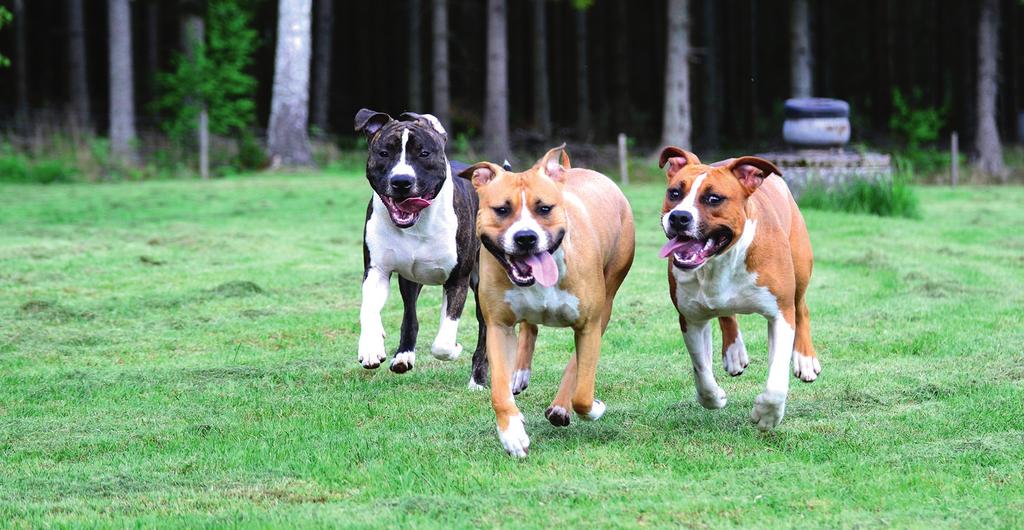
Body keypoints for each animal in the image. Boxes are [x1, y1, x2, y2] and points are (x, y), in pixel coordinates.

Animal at [356, 108, 487, 390]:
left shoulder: (457, 280)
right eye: (384, 153)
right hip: (410, 279)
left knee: (486, 330)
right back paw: (403, 356)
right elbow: (369, 310)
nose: (401, 181)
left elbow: (443, 342)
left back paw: (478, 380)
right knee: (410, 316)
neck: (417, 223)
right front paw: (371, 347)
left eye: (424, 153)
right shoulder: (377, 271)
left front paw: (455, 348)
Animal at [462, 147, 630, 458]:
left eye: (544, 209)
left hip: (607, 301)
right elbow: (499, 391)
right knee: (530, 326)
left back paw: (560, 407)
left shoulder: (589, 325)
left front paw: (592, 407)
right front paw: (512, 434)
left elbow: (583, 392)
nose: (526, 237)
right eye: (502, 210)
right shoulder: (498, 327)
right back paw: (520, 373)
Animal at [659, 145, 819, 431]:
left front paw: (767, 415)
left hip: (800, 268)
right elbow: (701, 369)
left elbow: (776, 382)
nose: (679, 217)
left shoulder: (780, 313)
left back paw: (806, 360)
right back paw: (734, 352)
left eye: (713, 198)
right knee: (726, 313)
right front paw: (714, 397)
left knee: (802, 309)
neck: (721, 261)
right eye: (674, 193)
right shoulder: (691, 318)